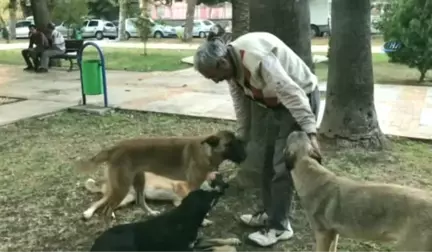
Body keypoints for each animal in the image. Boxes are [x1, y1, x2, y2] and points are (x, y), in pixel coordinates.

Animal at [76, 130, 246, 224]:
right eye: (229, 144)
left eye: (238, 142)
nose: (245, 156)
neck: (207, 152)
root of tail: (114, 148)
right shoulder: (192, 187)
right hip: (122, 188)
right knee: (104, 208)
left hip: (138, 181)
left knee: (139, 202)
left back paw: (151, 213)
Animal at [89, 173, 241, 252]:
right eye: (209, 197)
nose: (223, 189)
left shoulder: (196, 242)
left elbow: (217, 239)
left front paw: (232, 240)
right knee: (102, 204)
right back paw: (89, 213)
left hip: (129, 198)